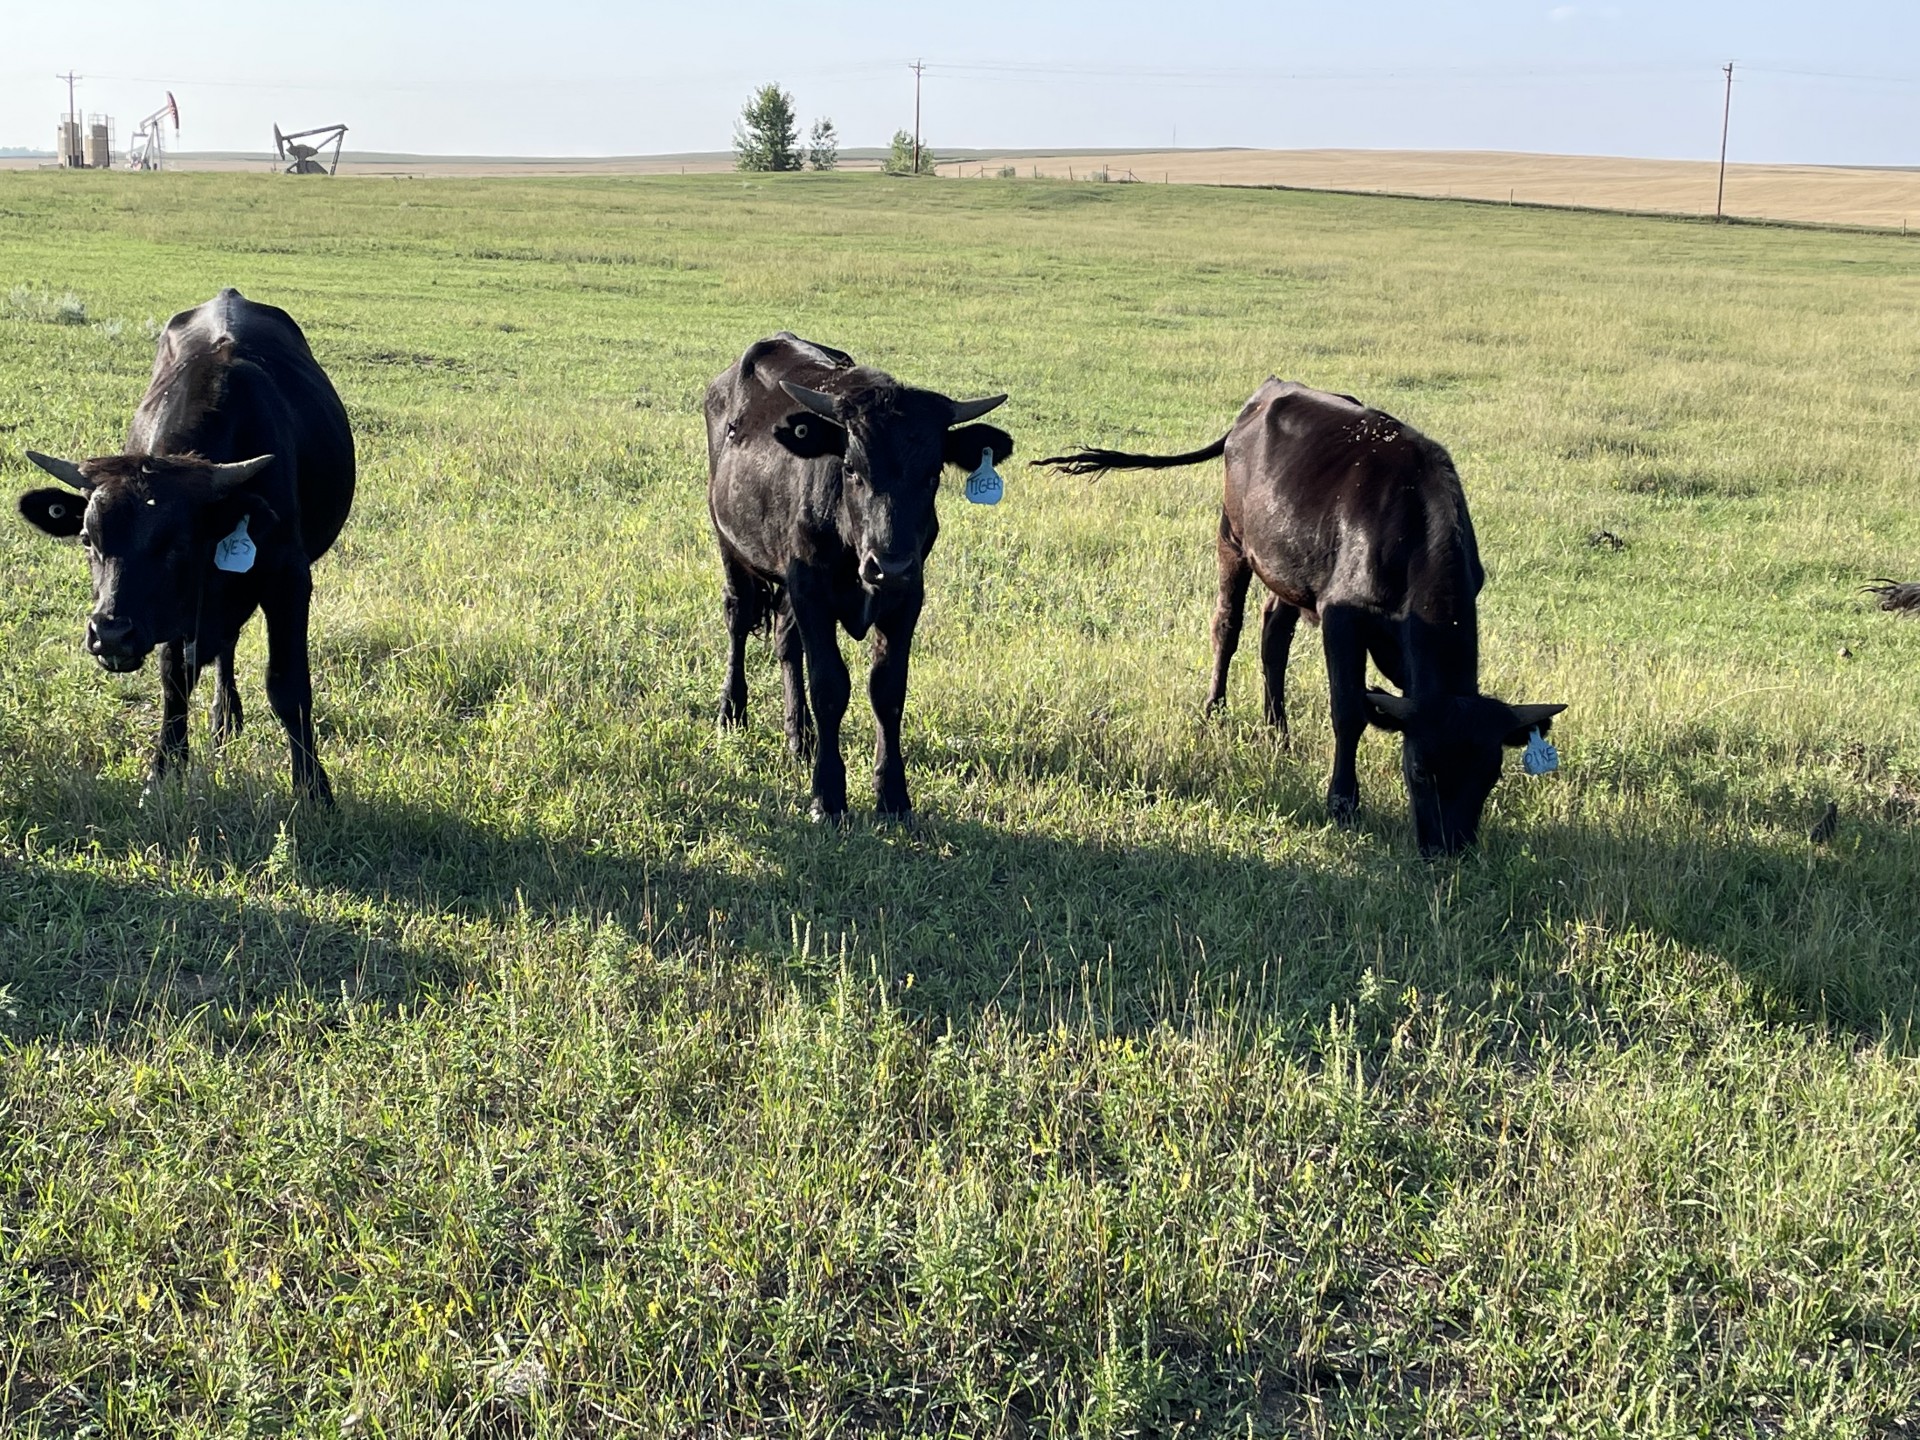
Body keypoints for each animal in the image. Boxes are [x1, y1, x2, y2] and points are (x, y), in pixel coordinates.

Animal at [16, 288, 355, 806]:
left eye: (175, 544)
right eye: (88, 540)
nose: (110, 634)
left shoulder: (288, 578)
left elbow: (288, 684)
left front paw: (314, 789)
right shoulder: (177, 615)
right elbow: (174, 677)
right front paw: (163, 771)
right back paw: (222, 719)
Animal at [702, 332, 1006, 817]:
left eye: (933, 473)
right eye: (850, 468)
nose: (889, 564)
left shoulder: (906, 598)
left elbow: (888, 690)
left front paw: (892, 794)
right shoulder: (812, 591)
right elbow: (829, 686)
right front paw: (827, 794)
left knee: (786, 643)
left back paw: (799, 737)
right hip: (729, 543)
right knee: (738, 617)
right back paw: (732, 711)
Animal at [1044, 380, 1566, 856]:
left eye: (1491, 773)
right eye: (1419, 769)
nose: (1448, 848)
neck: (1411, 530)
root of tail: (1265, 394)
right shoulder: (1342, 617)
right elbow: (1348, 709)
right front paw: (1342, 803)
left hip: (1289, 572)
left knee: (1273, 636)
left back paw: (1278, 732)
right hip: (1232, 538)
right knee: (1227, 626)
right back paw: (1215, 708)